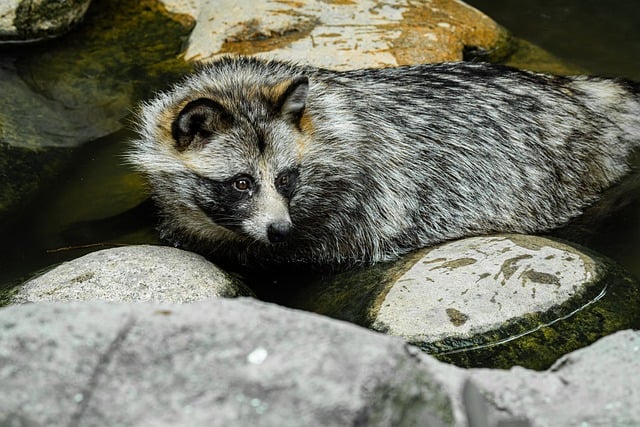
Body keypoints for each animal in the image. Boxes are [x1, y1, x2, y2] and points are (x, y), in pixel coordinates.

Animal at [131, 55, 640, 266]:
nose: (280, 230)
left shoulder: (348, 213)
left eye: (287, 178)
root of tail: (577, 92)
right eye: (241, 182)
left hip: (566, 173)